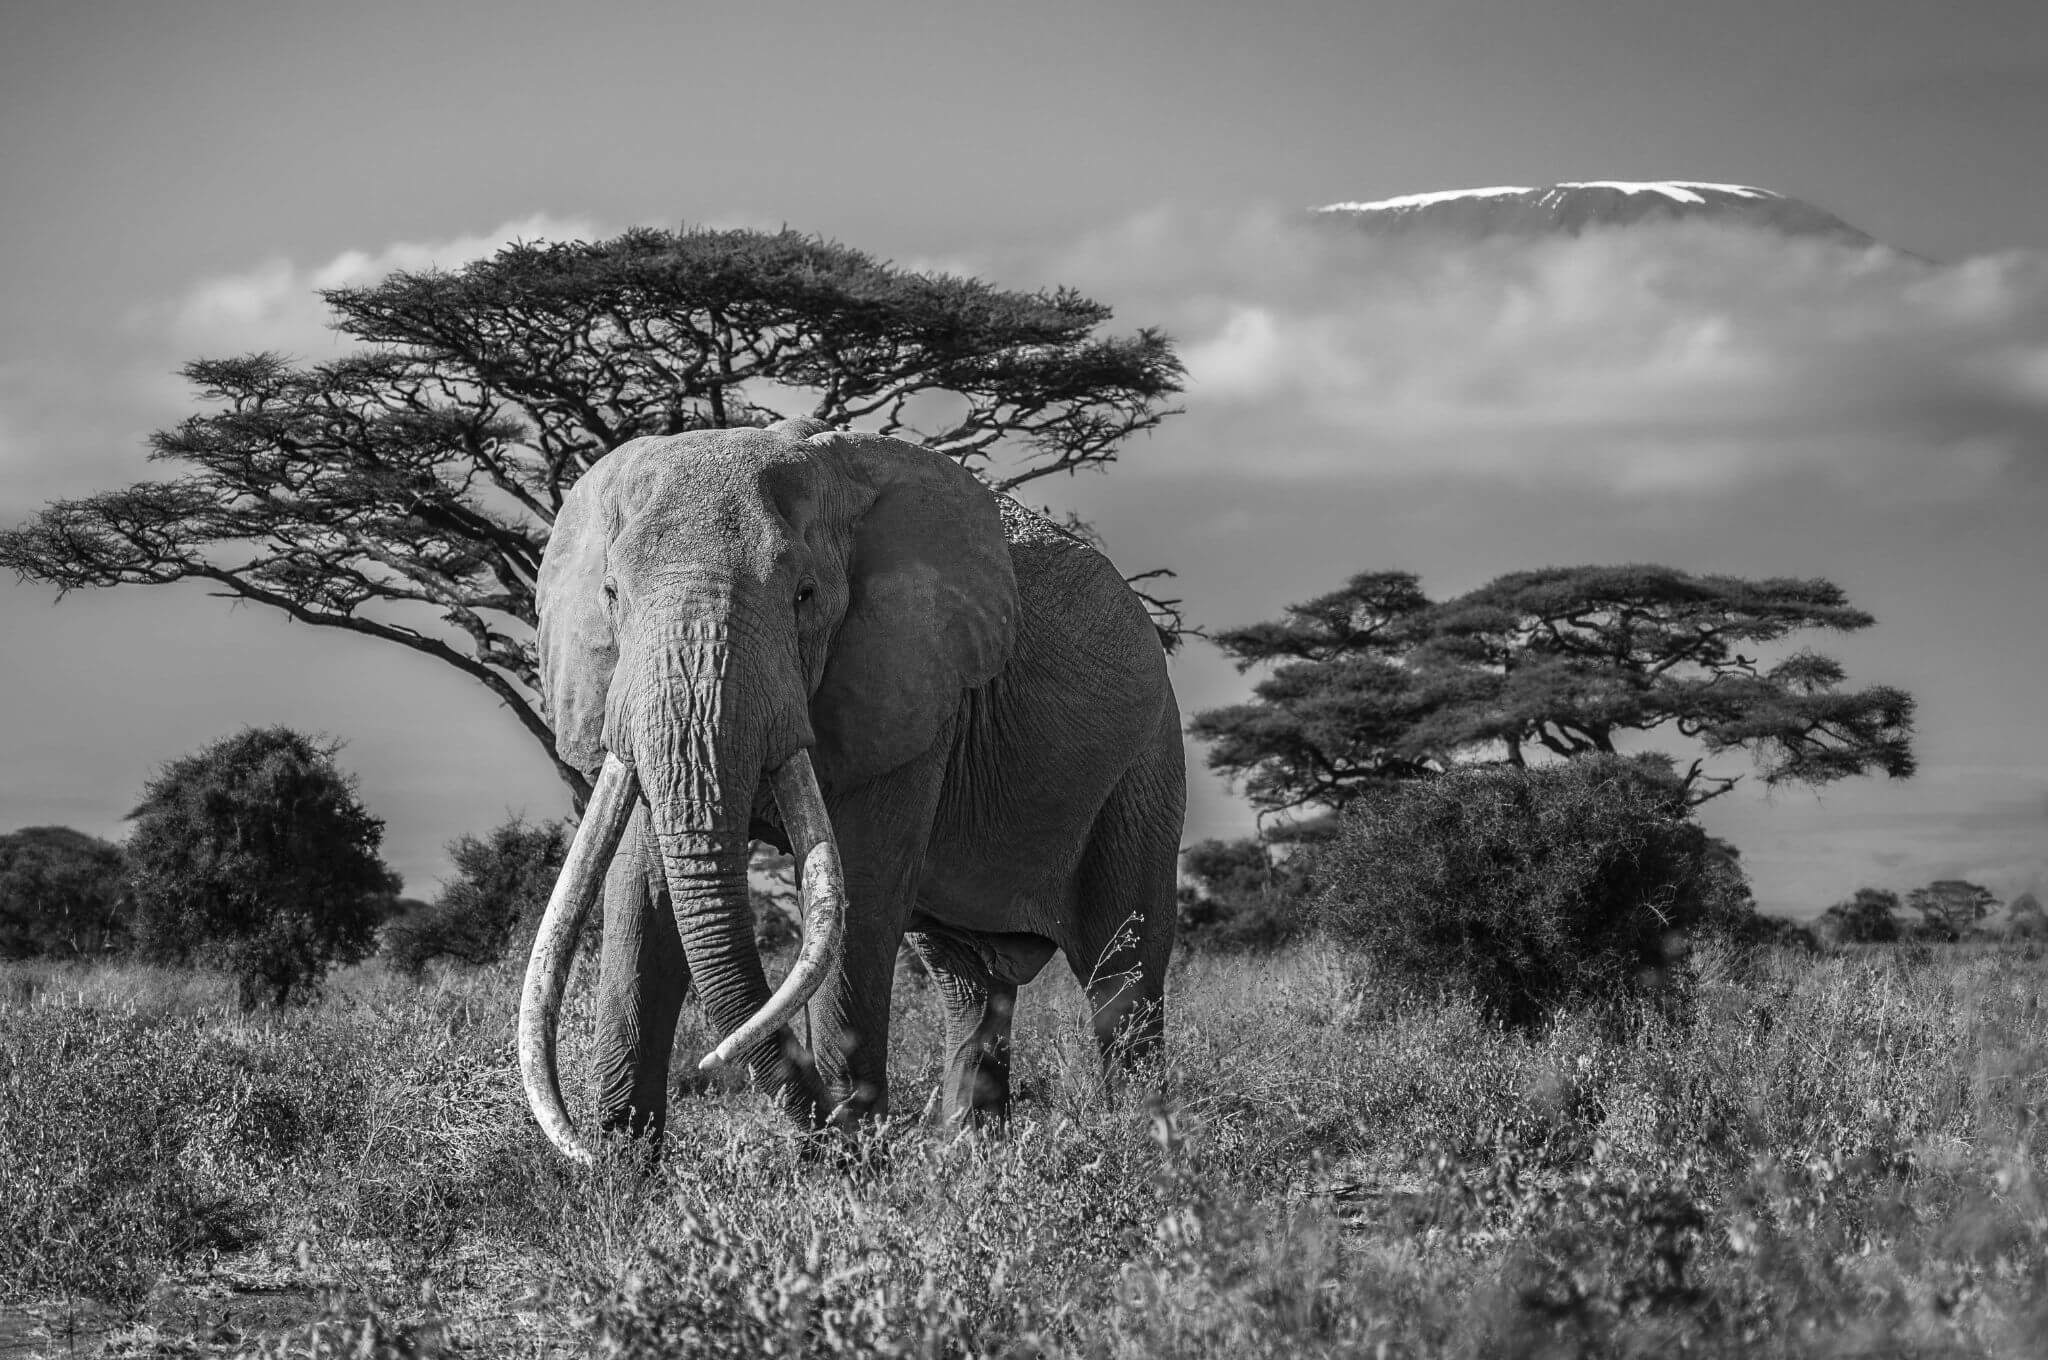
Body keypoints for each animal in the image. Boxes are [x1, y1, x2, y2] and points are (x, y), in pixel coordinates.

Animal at [512, 417, 1187, 1155]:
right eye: (612, 595)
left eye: (804, 595)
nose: (713, 1061)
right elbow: (642, 895)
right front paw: (620, 1171)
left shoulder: (911, 687)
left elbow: (858, 893)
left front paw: (852, 1165)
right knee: (971, 985)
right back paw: (970, 1160)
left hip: (1145, 765)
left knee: (1121, 978)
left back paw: (1144, 1154)